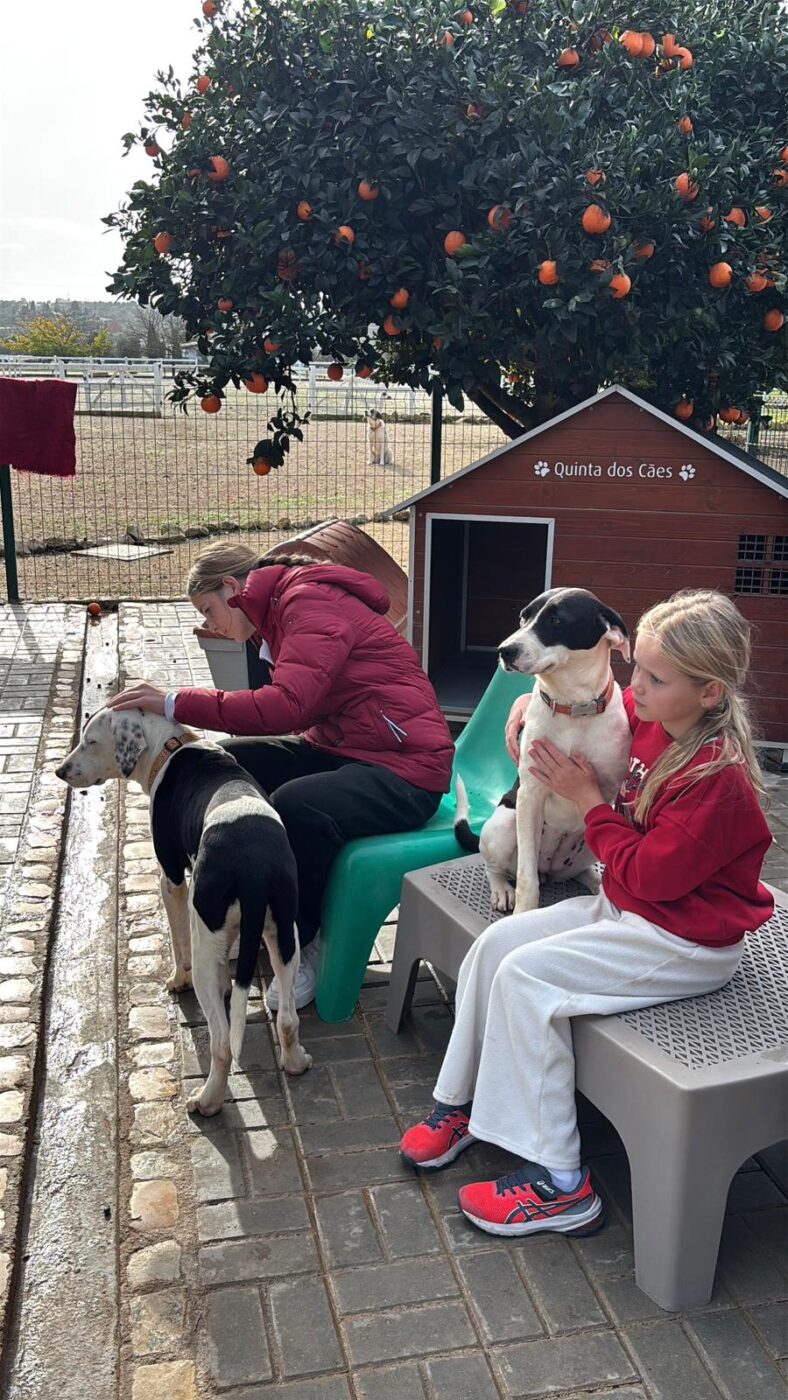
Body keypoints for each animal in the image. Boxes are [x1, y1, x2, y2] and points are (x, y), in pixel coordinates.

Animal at [55, 708, 311, 1116]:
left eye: (90, 741)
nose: (60, 771)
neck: (170, 746)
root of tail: (255, 865)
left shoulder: (172, 881)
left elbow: (179, 946)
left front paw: (177, 980)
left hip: (206, 935)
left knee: (221, 1044)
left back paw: (207, 1101)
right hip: (286, 933)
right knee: (287, 1019)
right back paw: (296, 1062)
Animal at [455, 588, 632, 914]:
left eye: (556, 620)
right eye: (523, 617)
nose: (504, 650)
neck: (573, 707)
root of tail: (549, 869)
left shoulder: (609, 797)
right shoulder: (530, 796)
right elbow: (526, 879)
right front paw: (523, 911)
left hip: (584, 845)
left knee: (579, 870)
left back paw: (594, 882)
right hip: (504, 825)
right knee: (497, 867)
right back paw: (502, 889)